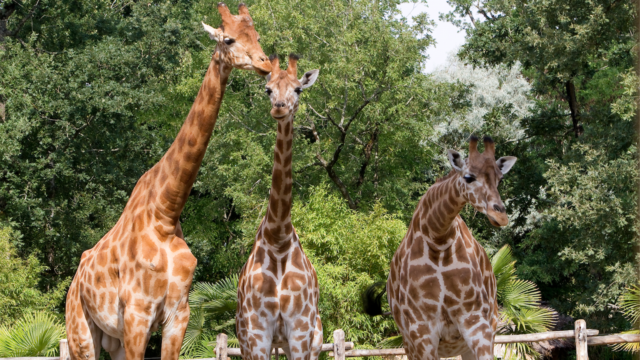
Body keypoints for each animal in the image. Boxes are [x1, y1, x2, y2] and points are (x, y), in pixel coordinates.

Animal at [66, 4, 272, 360]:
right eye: (229, 39)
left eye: (256, 36)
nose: (266, 64)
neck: (165, 212)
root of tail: (74, 280)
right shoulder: (137, 314)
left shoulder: (179, 313)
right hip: (80, 328)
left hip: (112, 339)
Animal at [235, 54, 322, 360]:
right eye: (268, 89)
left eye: (298, 89)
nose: (279, 109)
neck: (278, 236)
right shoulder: (258, 332)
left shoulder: (301, 330)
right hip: (248, 341)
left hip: (314, 337)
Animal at [364, 136, 516, 360]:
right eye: (468, 177)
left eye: (500, 180)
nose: (500, 216)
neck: (438, 240)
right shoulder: (421, 330)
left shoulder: (476, 320)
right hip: (409, 344)